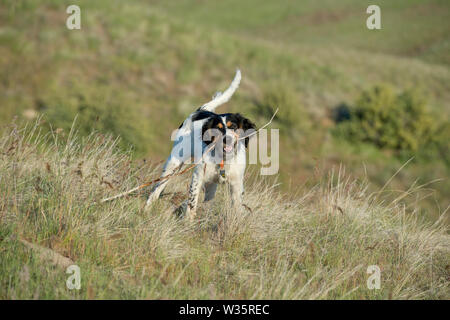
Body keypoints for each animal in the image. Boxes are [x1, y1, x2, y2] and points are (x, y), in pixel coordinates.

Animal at [146, 69, 255, 220]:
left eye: (232, 126)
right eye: (217, 128)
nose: (227, 139)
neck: (223, 159)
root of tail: (201, 110)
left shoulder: (236, 183)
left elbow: (237, 207)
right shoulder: (198, 177)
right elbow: (192, 204)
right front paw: (188, 222)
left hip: (210, 184)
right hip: (174, 164)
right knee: (157, 189)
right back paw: (146, 209)